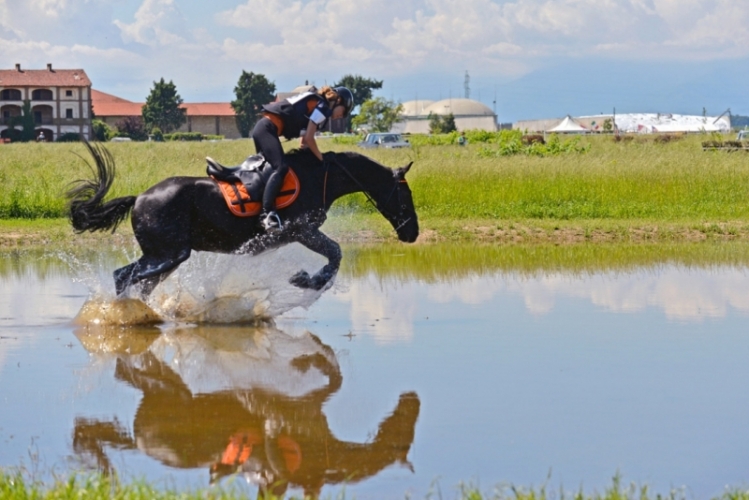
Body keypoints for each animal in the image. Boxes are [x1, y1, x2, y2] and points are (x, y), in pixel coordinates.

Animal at [67, 141, 418, 296]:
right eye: (407, 195)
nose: (413, 233)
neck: (321, 176)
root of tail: (139, 197)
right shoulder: (301, 230)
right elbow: (335, 253)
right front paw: (307, 280)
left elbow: (334, 254)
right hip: (167, 254)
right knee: (123, 276)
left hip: (165, 258)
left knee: (137, 282)